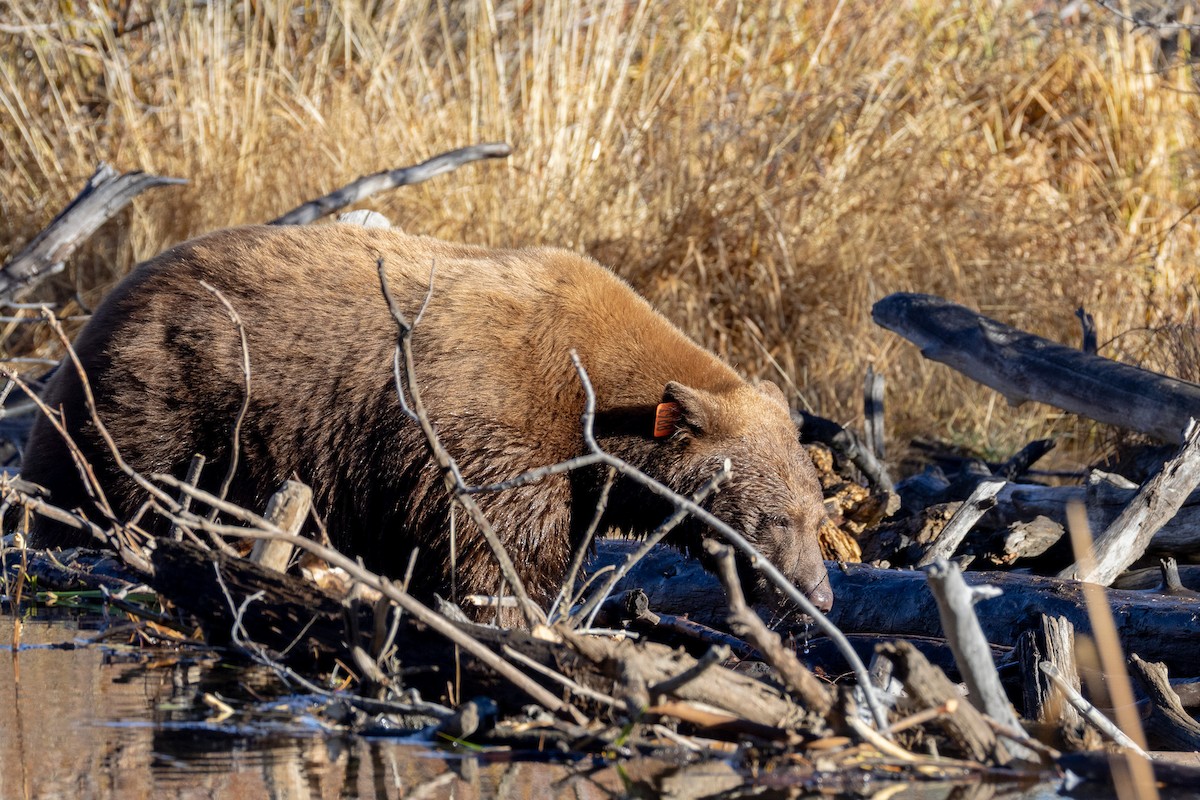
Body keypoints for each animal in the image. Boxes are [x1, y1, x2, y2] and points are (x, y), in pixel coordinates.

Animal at [19, 224, 833, 615]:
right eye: (775, 518)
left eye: (815, 513)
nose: (819, 593)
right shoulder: (491, 420)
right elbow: (491, 536)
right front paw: (511, 608)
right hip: (167, 401)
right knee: (105, 480)